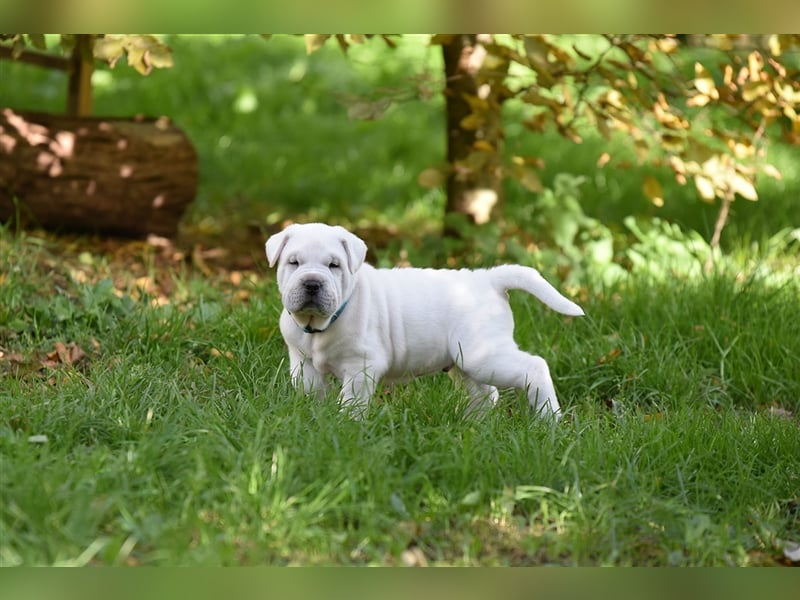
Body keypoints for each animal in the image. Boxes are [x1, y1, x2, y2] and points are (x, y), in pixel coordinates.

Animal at [266, 223, 584, 420]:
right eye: (293, 262)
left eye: (334, 265)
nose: (312, 283)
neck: (319, 326)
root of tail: (489, 279)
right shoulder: (303, 363)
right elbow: (311, 392)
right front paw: (314, 418)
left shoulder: (361, 366)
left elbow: (352, 401)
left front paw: (346, 425)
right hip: (464, 362)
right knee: (486, 393)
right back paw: (474, 427)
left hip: (484, 355)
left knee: (535, 367)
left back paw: (549, 421)